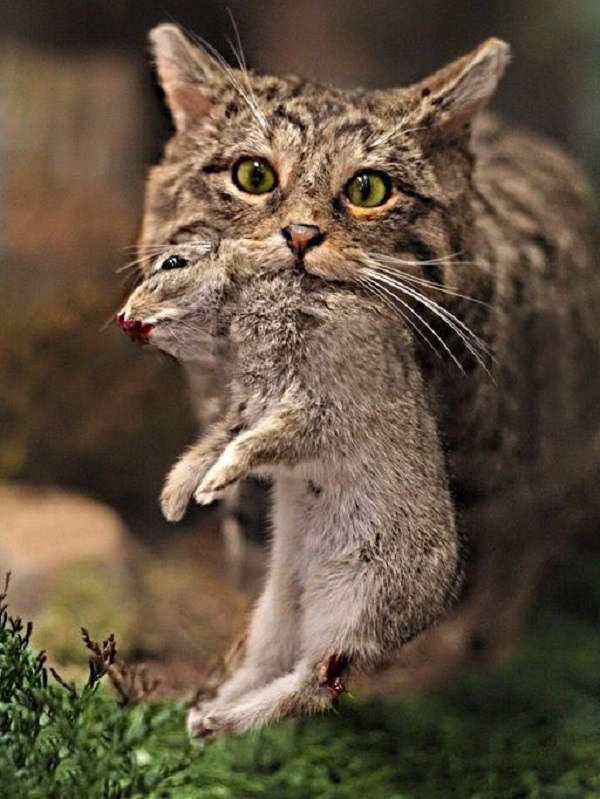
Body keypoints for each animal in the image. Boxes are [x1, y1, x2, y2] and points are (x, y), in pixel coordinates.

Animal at [117, 241, 462, 735]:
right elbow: (217, 441)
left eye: (174, 264)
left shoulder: (312, 409)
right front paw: (176, 499)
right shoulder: (251, 409)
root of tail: (436, 603)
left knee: (315, 684)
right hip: (278, 610)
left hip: (353, 597)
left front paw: (211, 486)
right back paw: (203, 717)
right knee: (273, 665)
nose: (124, 317)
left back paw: (218, 720)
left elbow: (252, 445)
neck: (246, 294)